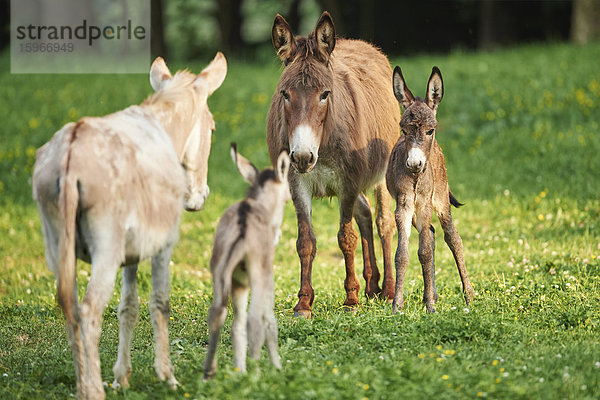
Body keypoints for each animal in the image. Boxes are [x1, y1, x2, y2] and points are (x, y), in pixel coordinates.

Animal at [203, 143, 292, 378]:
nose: (277, 234)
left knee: (218, 314)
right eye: (287, 199)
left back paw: (210, 372)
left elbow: (237, 326)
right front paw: (276, 367)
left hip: (220, 274)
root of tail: (242, 229)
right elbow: (269, 320)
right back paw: (256, 370)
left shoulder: (239, 283)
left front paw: (240, 370)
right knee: (254, 320)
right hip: (259, 276)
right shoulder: (266, 279)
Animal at [386, 66, 476, 316]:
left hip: (442, 199)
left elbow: (424, 252)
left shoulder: (425, 204)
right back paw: (432, 294)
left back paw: (469, 296)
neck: (416, 178)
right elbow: (402, 254)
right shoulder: (403, 206)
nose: (414, 164)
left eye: (430, 130)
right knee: (433, 234)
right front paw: (397, 305)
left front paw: (430, 308)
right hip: (416, 213)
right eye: (403, 130)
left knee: (452, 237)